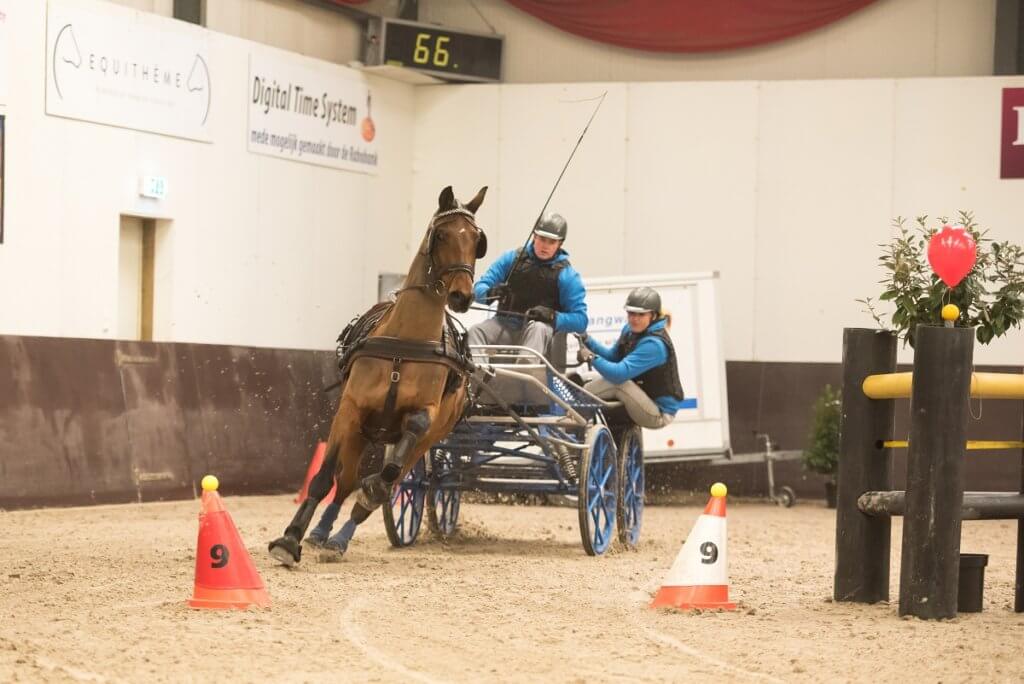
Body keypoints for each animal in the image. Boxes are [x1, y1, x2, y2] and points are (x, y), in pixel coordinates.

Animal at [268, 184, 483, 565]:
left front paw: (370, 493)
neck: (405, 343)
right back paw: (322, 534)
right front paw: (290, 539)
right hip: (362, 432)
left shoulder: (423, 418)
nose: (461, 295)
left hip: (425, 440)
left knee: (387, 482)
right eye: (442, 234)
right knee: (346, 481)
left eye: (476, 240)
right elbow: (324, 479)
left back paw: (340, 538)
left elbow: (386, 477)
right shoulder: (350, 410)